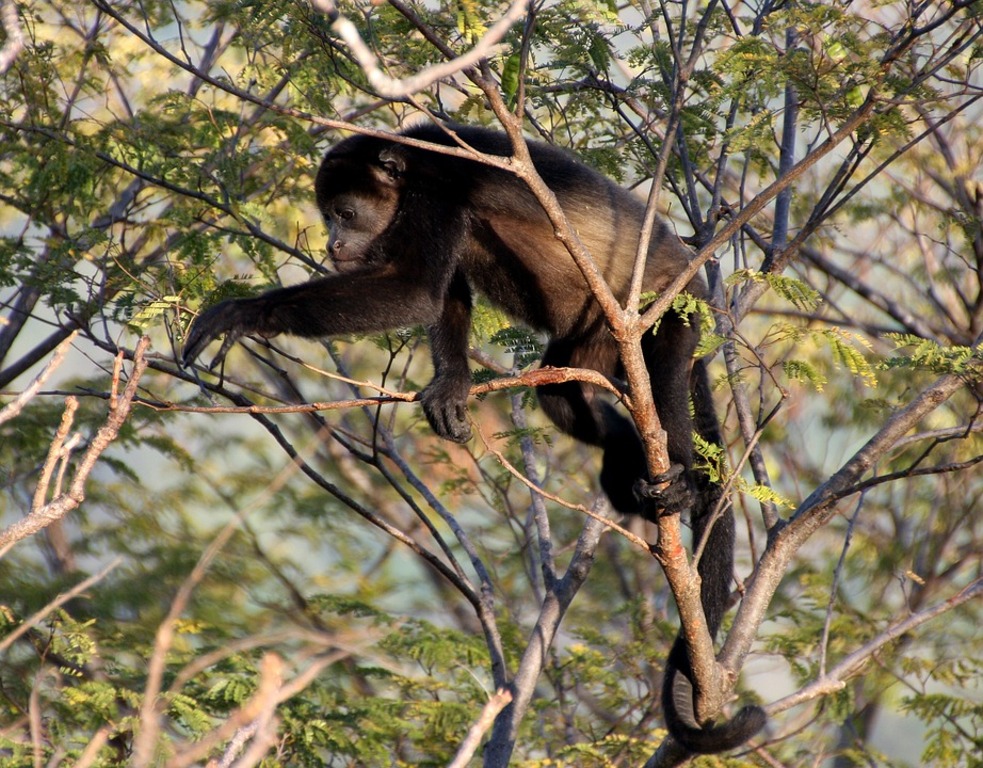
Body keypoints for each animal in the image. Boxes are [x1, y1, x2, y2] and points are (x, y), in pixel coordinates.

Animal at [182, 123, 766, 753]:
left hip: (671, 312)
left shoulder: (437, 192)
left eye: (346, 213)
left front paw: (245, 312)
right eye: (328, 215)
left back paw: (680, 480)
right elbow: (444, 294)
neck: (408, 167)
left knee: (663, 383)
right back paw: (624, 459)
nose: (334, 244)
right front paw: (450, 386)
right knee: (562, 392)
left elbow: (414, 289)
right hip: (591, 342)